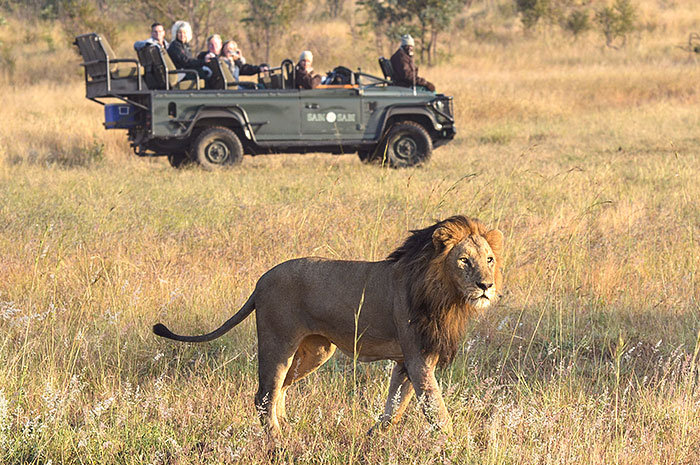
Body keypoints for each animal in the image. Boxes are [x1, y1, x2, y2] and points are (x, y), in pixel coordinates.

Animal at [153, 214, 504, 436]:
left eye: (489, 260)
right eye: (464, 261)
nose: (486, 286)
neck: (444, 293)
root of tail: (260, 280)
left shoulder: (411, 360)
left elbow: (395, 406)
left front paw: (374, 436)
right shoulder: (418, 358)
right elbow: (436, 410)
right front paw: (455, 445)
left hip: (316, 350)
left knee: (278, 390)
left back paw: (289, 428)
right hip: (278, 342)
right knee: (263, 395)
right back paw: (279, 441)